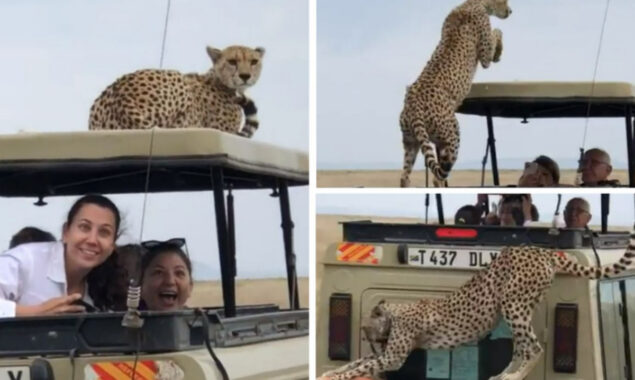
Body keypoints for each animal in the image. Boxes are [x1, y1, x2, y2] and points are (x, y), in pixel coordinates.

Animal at [89, 45, 264, 138]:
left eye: (254, 61)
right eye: (232, 61)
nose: (245, 76)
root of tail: (121, 94)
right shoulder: (223, 131)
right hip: (177, 79)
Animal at [320, 236, 635, 378]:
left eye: (369, 333)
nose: (374, 342)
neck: (396, 311)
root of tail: (541, 250)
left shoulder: (393, 356)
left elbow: (364, 364)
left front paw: (336, 374)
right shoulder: (387, 354)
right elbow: (357, 363)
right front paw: (330, 372)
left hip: (513, 303)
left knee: (534, 347)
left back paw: (513, 376)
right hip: (521, 305)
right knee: (522, 347)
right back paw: (505, 374)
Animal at [402, 0, 512, 187]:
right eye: (504, 1)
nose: (510, 11)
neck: (472, 3)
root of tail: (413, 104)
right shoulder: (484, 56)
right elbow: (497, 32)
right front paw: (499, 53)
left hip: (412, 142)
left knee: (404, 177)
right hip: (452, 136)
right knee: (438, 176)